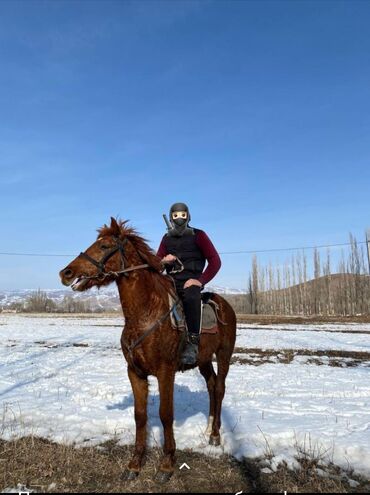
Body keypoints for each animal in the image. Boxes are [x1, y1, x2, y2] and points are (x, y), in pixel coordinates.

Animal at [59, 219, 236, 482]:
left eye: (104, 246)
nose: (66, 273)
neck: (143, 316)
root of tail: (225, 304)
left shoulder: (165, 372)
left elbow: (165, 414)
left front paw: (166, 464)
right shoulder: (135, 372)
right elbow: (140, 415)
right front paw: (134, 464)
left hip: (224, 354)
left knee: (221, 387)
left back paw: (215, 435)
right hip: (203, 360)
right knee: (212, 385)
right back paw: (209, 428)